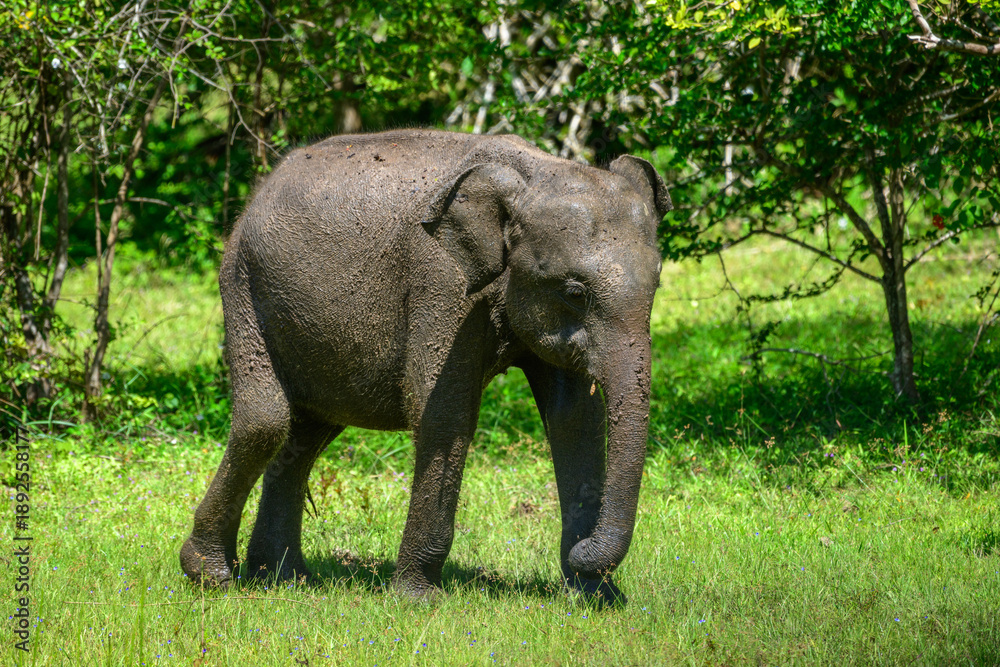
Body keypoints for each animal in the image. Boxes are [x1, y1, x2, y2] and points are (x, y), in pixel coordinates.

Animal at [180, 128, 671, 605]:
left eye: (659, 283)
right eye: (574, 292)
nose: (584, 553)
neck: (532, 175)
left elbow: (575, 421)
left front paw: (595, 599)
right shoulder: (441, 280)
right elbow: (443, 414)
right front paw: (418, 601)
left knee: (306, 433)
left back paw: (284, 579)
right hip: (242, 283)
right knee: (265, 422)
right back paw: (211, 576)